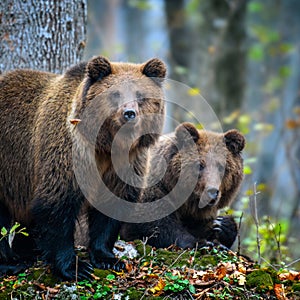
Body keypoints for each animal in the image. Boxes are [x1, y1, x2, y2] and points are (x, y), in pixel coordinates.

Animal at [0, 55, 166, 278]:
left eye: (140, 95)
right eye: (115, 94)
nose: (129, 113)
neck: (107, 146)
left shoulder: (125, 164)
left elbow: (110, 208)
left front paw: (108, 258)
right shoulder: (70, 153)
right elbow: (57, 204)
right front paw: (74, 267)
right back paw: (11, 262)